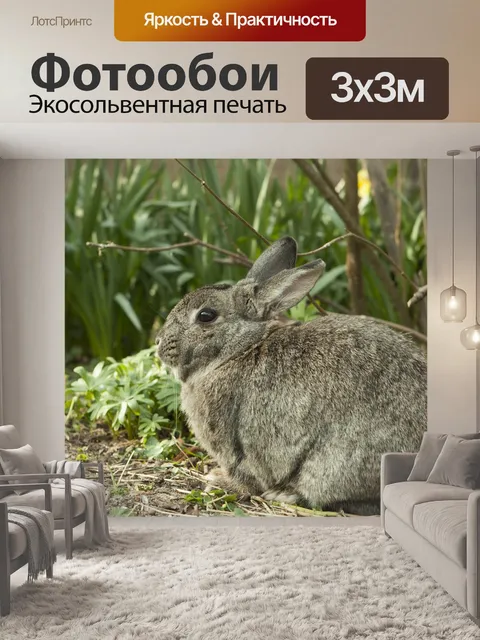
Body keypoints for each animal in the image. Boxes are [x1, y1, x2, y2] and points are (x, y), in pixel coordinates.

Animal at [157, 237, 426, 513]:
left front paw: (218, 481)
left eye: (206, 316)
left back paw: (286, 495)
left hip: (335, 465)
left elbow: (246, 476)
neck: (241, 349)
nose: (159, 343)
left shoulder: (235, 447)